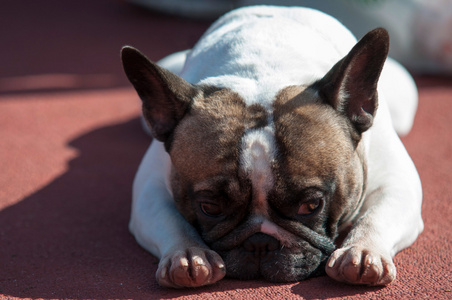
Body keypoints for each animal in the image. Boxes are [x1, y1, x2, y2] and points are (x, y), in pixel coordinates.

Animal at [121, 5, 424, 288]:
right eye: (209, 207)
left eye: (311, 205)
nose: (260, 243)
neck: (263, 71)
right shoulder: (149, 189)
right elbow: (170, 220)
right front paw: (186, 253)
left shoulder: (398, 183)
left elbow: (376, 216)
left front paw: (362, 250)